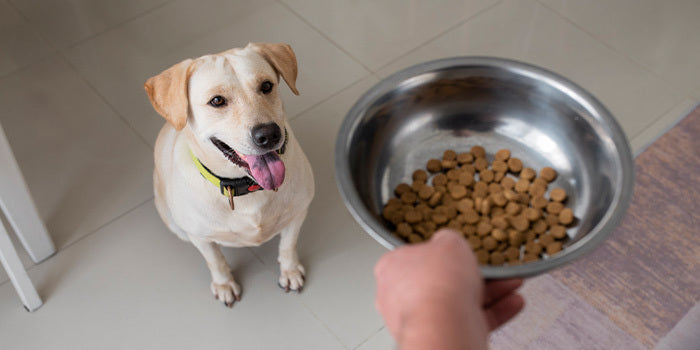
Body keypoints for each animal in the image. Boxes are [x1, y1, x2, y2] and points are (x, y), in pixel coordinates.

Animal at [145, 43, 314, 306]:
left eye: (266, 86)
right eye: (217, 101)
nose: (269, 134)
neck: (247, 187)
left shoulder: (298, 213)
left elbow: (288, 245)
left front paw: (290, 271)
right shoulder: (200, 237)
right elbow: (216, 261)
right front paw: (224, 284)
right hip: (174, 222)